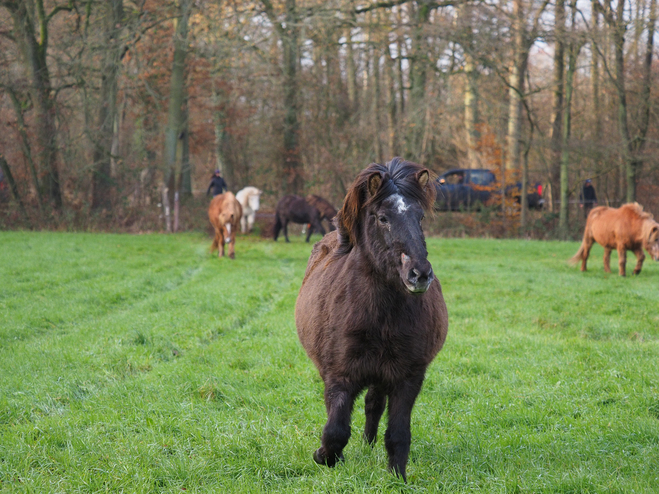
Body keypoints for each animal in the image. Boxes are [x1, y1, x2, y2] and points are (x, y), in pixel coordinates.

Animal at [296, 158, 452, 482]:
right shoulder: (340, 376)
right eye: (382, 218)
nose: (419, 274)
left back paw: (368, 444)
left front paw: (397, 477)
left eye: (420, 218)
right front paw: (325, 456)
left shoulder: (407, 377)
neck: (380, 317)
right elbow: (335, 431)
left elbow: (398, 433)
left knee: (373, 405)